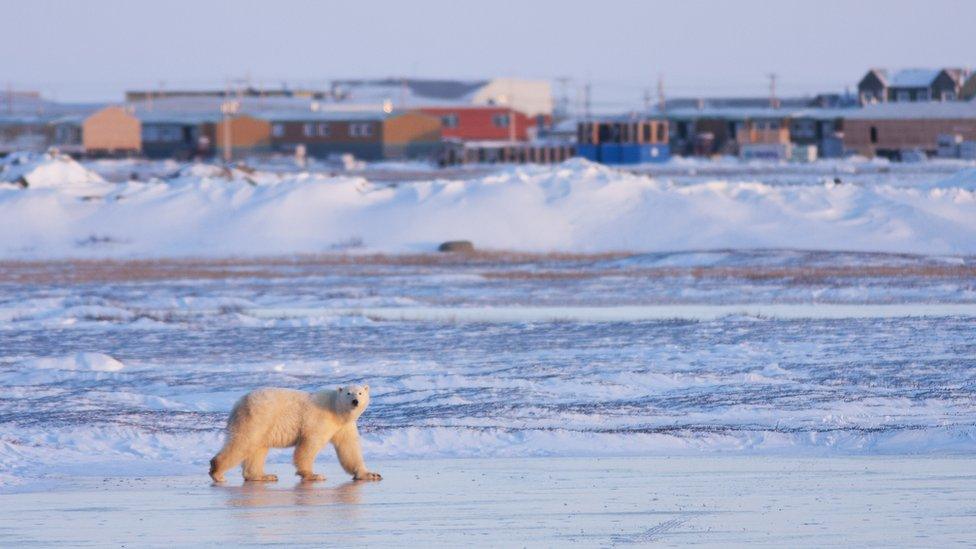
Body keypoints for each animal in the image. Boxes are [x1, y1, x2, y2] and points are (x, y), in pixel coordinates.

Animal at [210, 384, 382, 482]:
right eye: (348, 393)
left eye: (360, 393)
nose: (355, 401)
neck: (336, 409)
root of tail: (238, 403)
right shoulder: (319, 420)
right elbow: (309, 444)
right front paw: (312, 475)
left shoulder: (343, 427)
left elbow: (349, 448)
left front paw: (370, 474)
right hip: (259, 416)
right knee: (245, 442)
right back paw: (217, 472)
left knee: (258, 448)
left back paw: (263, 476)